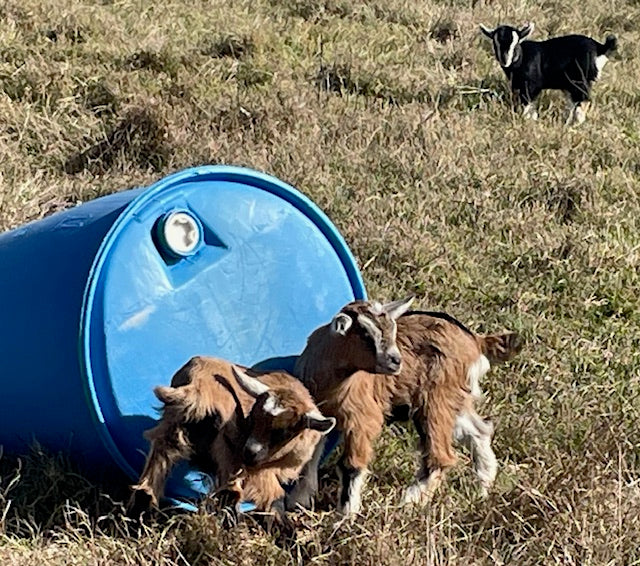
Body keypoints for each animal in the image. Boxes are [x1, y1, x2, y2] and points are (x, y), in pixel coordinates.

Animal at [128, 356, 336, 521]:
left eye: (283, 431)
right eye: (252, 418)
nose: (250, 452)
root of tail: (199, 385)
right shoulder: (256, 471)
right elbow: (276, 500)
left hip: (172, 427)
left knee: (148, 484)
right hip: (227, 446)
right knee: (230, 494)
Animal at [288, 309, 523, 516]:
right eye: (365, 335)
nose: (395, 361)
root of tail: (475, 340)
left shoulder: (362, 418)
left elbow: (350, 465)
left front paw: (346, 516)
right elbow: (308, 457)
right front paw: (298, 502)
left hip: (435, 400)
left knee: (441, 455)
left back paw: (410, 501)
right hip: (454, 399)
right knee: (479, 431)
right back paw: (482, 488)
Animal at [480, 22, 617, 125]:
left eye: (516, 43)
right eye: (495, 43)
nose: (505, 60)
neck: (522, 57)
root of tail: (600, 47)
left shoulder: (531, 86)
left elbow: (527, 104)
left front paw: (526, 120)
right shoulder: (517, 85)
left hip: (580, 81)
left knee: (584, 100)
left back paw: (575, 124)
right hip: (569, 84)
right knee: (573, 102)